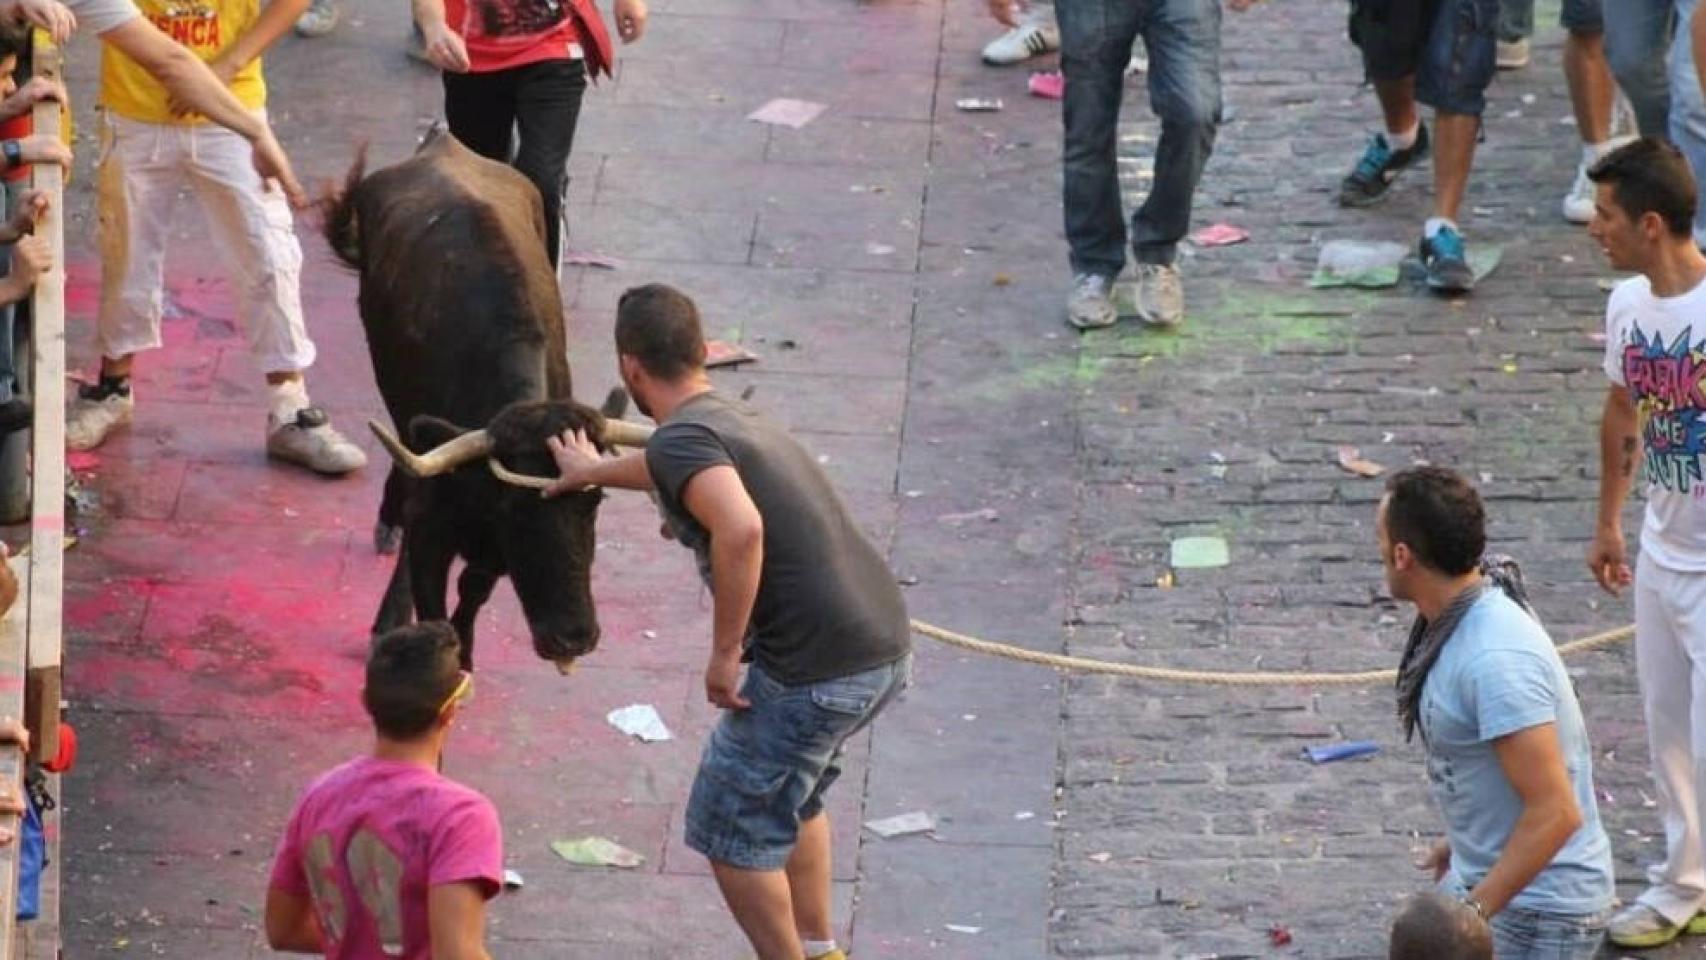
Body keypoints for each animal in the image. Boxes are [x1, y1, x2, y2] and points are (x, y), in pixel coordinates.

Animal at [319, 127, 644, 671]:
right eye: (517, 510)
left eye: (594, 501)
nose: (573, 639)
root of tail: (442, 142)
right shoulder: (433, 528)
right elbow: (430, 600)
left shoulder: (491, 553)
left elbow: (472, 591)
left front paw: (466, 654)